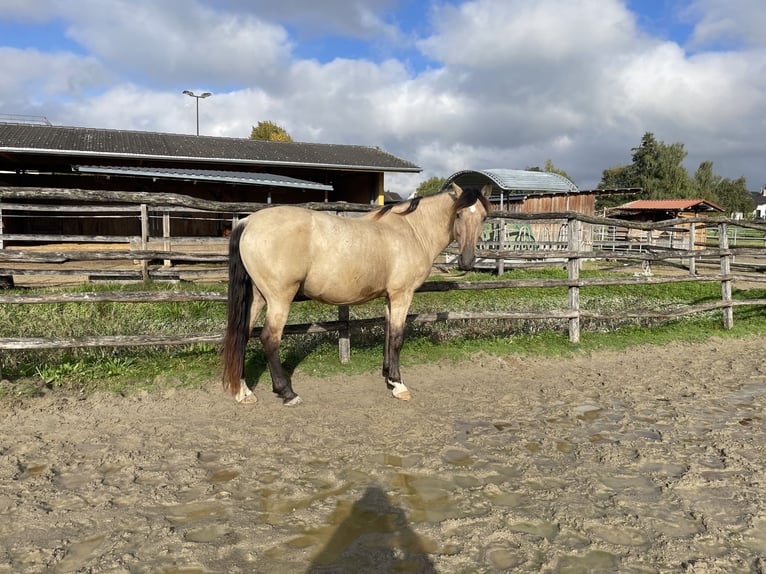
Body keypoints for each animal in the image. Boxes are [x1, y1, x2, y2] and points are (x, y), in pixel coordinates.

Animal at [221, 182, 491, 406]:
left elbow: (388, 333)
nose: (467, 261)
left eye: (484, 217)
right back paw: (287, 392)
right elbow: (397, 337)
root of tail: (249, 222)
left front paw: (388, 377)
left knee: (243, 335)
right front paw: (399, 384)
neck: (411, 230)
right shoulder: (402, 295)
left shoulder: (389, 297)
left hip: (257, 297)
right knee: (269, 338)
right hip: (279, 299)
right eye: (458, 214)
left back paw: (244, 392)